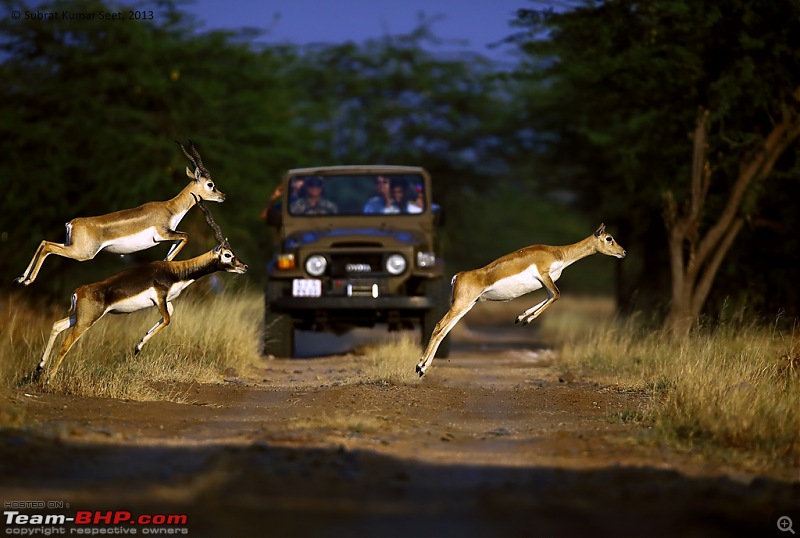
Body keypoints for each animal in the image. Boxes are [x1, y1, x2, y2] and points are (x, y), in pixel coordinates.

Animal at [13, 140, 225, 286]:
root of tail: (72, 223)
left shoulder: (169, 236)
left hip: (70, 245)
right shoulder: (163, 234)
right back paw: (27, 281)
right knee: (48, 247)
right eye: (210, 184)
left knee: (44, 242)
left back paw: (21, 278)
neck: (170, 208)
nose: (222, 196)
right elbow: (186, 236)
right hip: (82, 253)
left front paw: (166, 260)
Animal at [33, 199, 247, 384]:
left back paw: (39, 368)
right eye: (228, 255)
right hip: (85, 321)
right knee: (65, 345)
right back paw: (49, 379)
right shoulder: (160, 298)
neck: (176, 271)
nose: (244, 267)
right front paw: (137, 347)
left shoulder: (166, 301)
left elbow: (169, 315)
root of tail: (78, 292)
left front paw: (138, 344)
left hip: (77, 318)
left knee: (57, 325)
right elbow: (167, 319)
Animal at [416, 224, 628, 374]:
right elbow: (557, 294)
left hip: (467, 306)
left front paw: (522, 316)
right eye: (609, 238)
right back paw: (420, 367)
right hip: (460, 305)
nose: (623, 252)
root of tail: (458, 276)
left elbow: (550, 296)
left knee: (444, 330)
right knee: (439, 326)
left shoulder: (545, 283)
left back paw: (423, 367)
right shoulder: (545, 275)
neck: (558, 253)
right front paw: (527, 318)